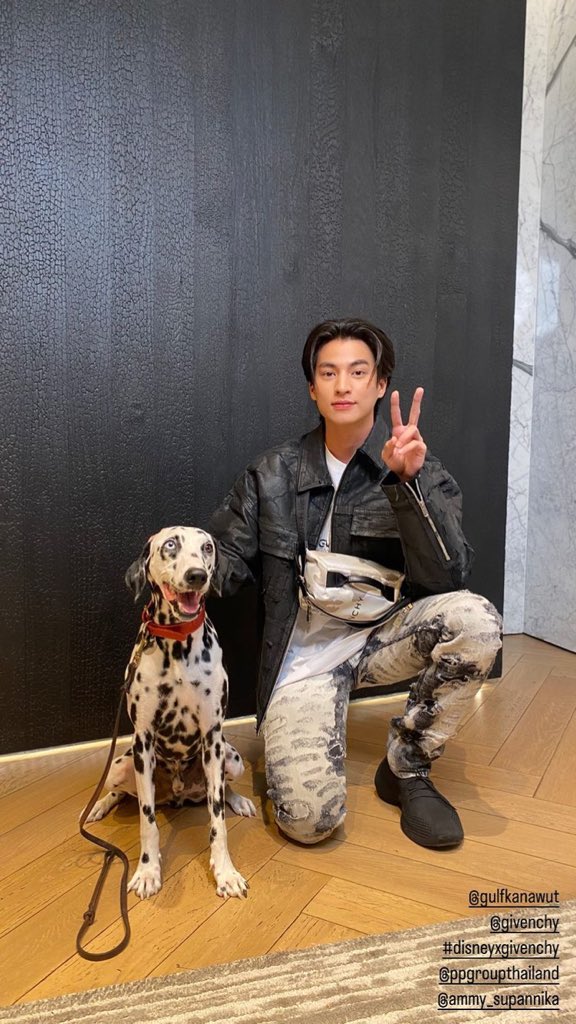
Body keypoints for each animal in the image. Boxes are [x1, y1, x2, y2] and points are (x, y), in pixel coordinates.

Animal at [84, 526, 256, 900]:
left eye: (207, 547)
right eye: (170, 545)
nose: (197, 576)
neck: (178, 643)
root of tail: (176, 795)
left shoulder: (213, 738)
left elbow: (217, 819)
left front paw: (225, 872)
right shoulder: (143, 741)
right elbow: (147, 820)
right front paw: (148, 871)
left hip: (231, 758)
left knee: (222, 786)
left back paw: (239, 801)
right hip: (120, 765)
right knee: (123, 792)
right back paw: (99, 806)